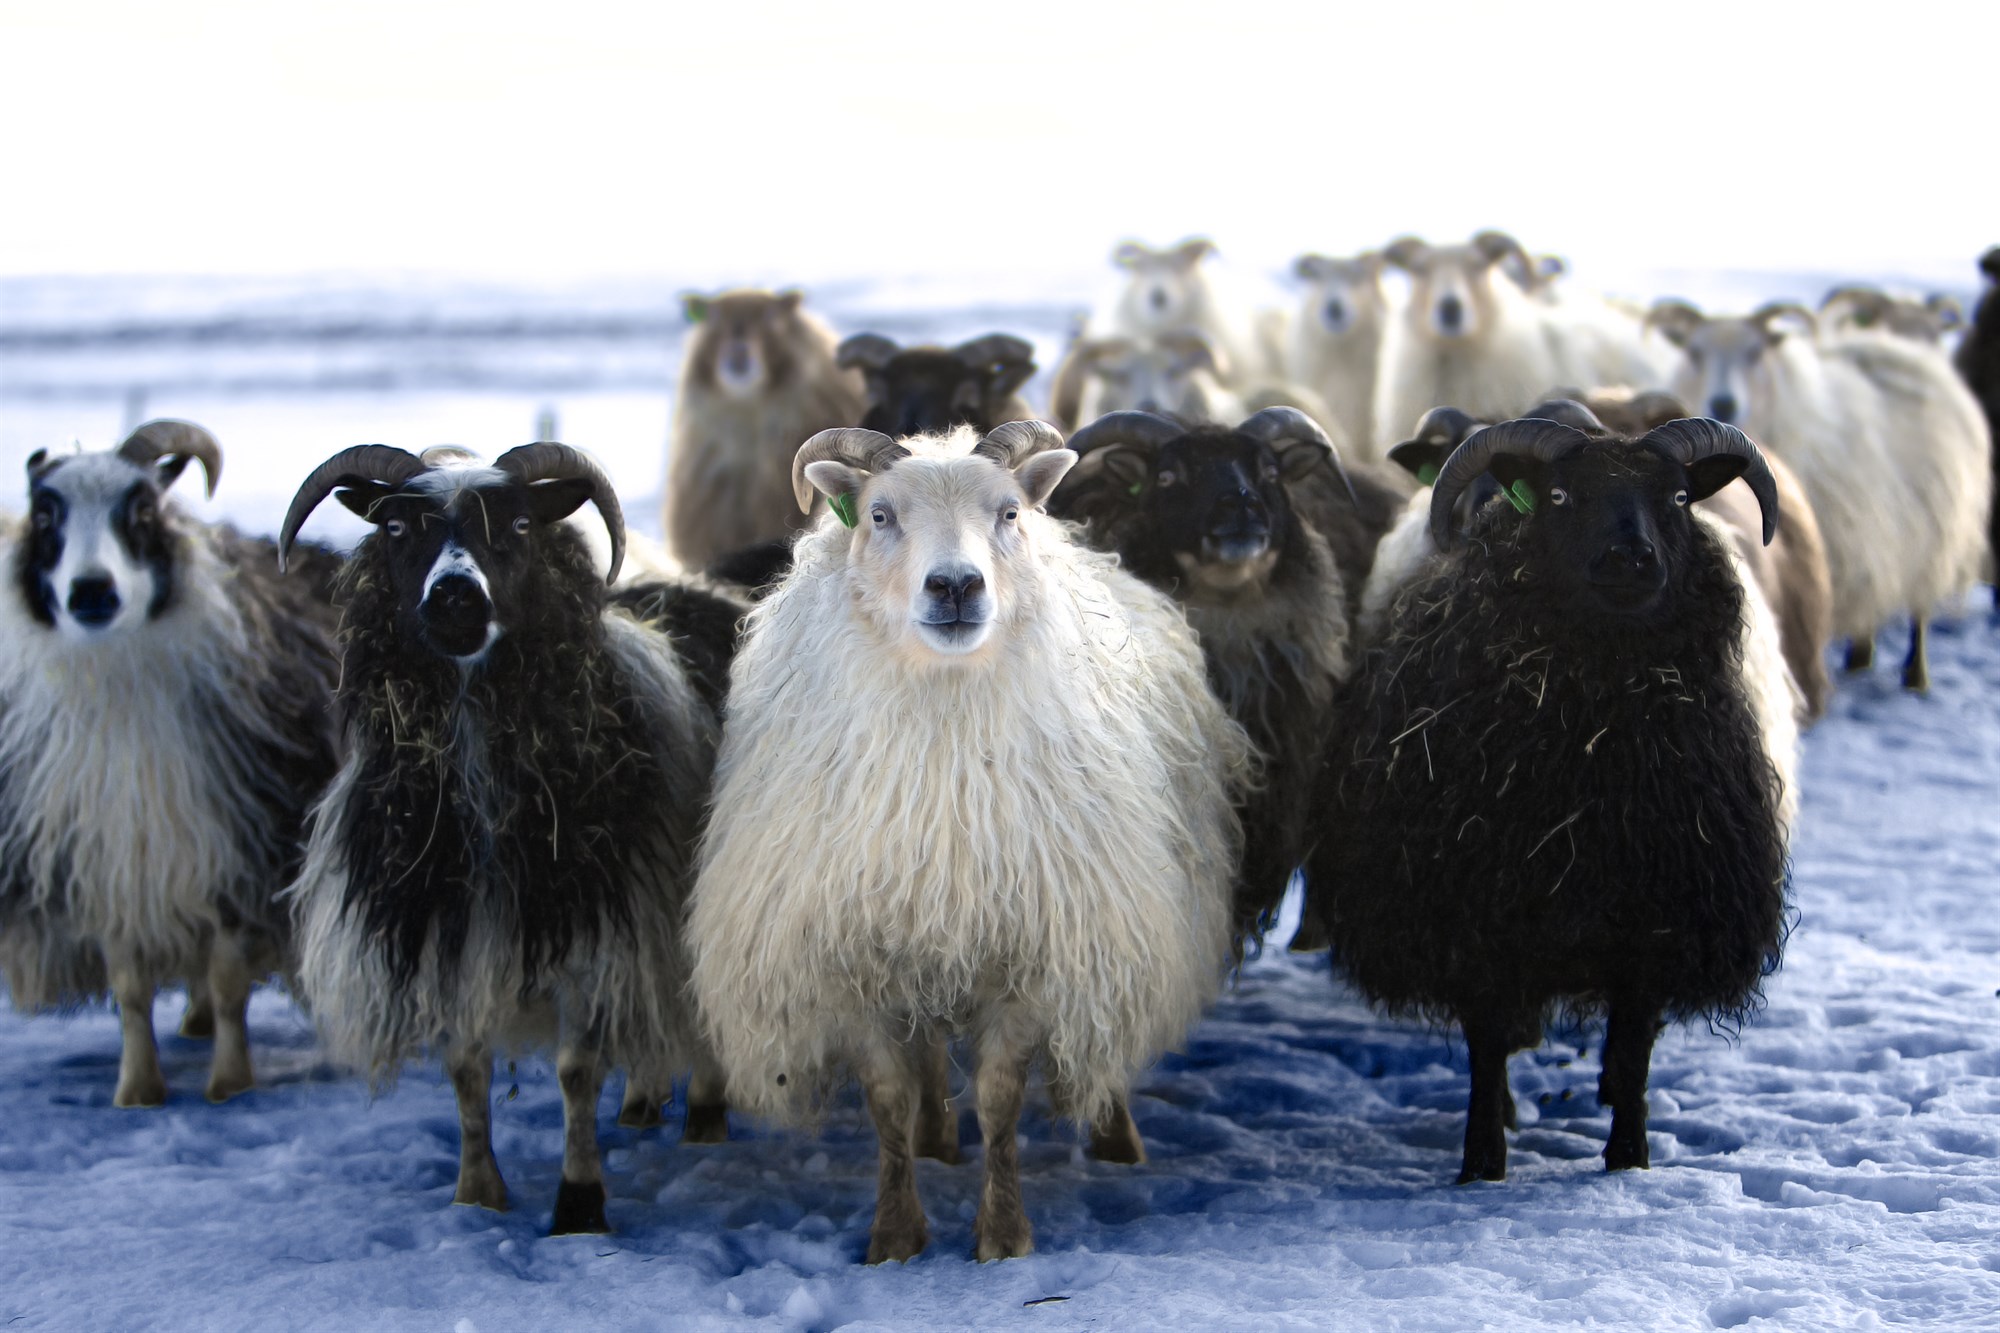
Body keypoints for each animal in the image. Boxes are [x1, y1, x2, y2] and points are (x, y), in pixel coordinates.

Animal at [0, 420, 341, 1105]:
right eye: (46, 514)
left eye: (142, 510)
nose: (92, 590)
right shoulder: (112, 863)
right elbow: (130, 991)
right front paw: (137, 1089)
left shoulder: (240, 850)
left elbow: (232, 981)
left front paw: (230, 1084)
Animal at [278, 440, 738, 1234]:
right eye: (396, 527)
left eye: (520, 524)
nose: (456, 600)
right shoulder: (456, 931)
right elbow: (467, 1068)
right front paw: (477, 1192)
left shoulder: (594, 930)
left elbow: (576, 1070)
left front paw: (579, 1204)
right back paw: (644, 1104)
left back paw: (703, 1111)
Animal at [687, 421, 1250, 1263]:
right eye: (880, 514)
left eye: (1009, 511)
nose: (955, 585)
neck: (947, 761)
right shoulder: (854, 958)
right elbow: (887, 1096)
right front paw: (895, 1232)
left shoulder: (1028, 952)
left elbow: (1000, 1098)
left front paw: (1004, 1235)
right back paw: (933, 1138)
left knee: (1103, 1040)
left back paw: (1114, 1133)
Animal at [1308, 414, 1793, 1185]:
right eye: (1561, 496)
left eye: (1679, 498)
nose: (1631, 557)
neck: (1591, 763)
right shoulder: (1477, 924)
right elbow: (1485, 1052)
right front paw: (1482, 1166)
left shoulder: (1654, 925)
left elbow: (1630, 1057)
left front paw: (1629, 1162)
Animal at [1652, 298, 1990, 689]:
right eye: (1694, 352)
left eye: (1757, 351)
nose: (1723, 404)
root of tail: (1904, 351)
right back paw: (1860, 657)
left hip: (1931, 534)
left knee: (1919, 608)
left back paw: (1915, 674)